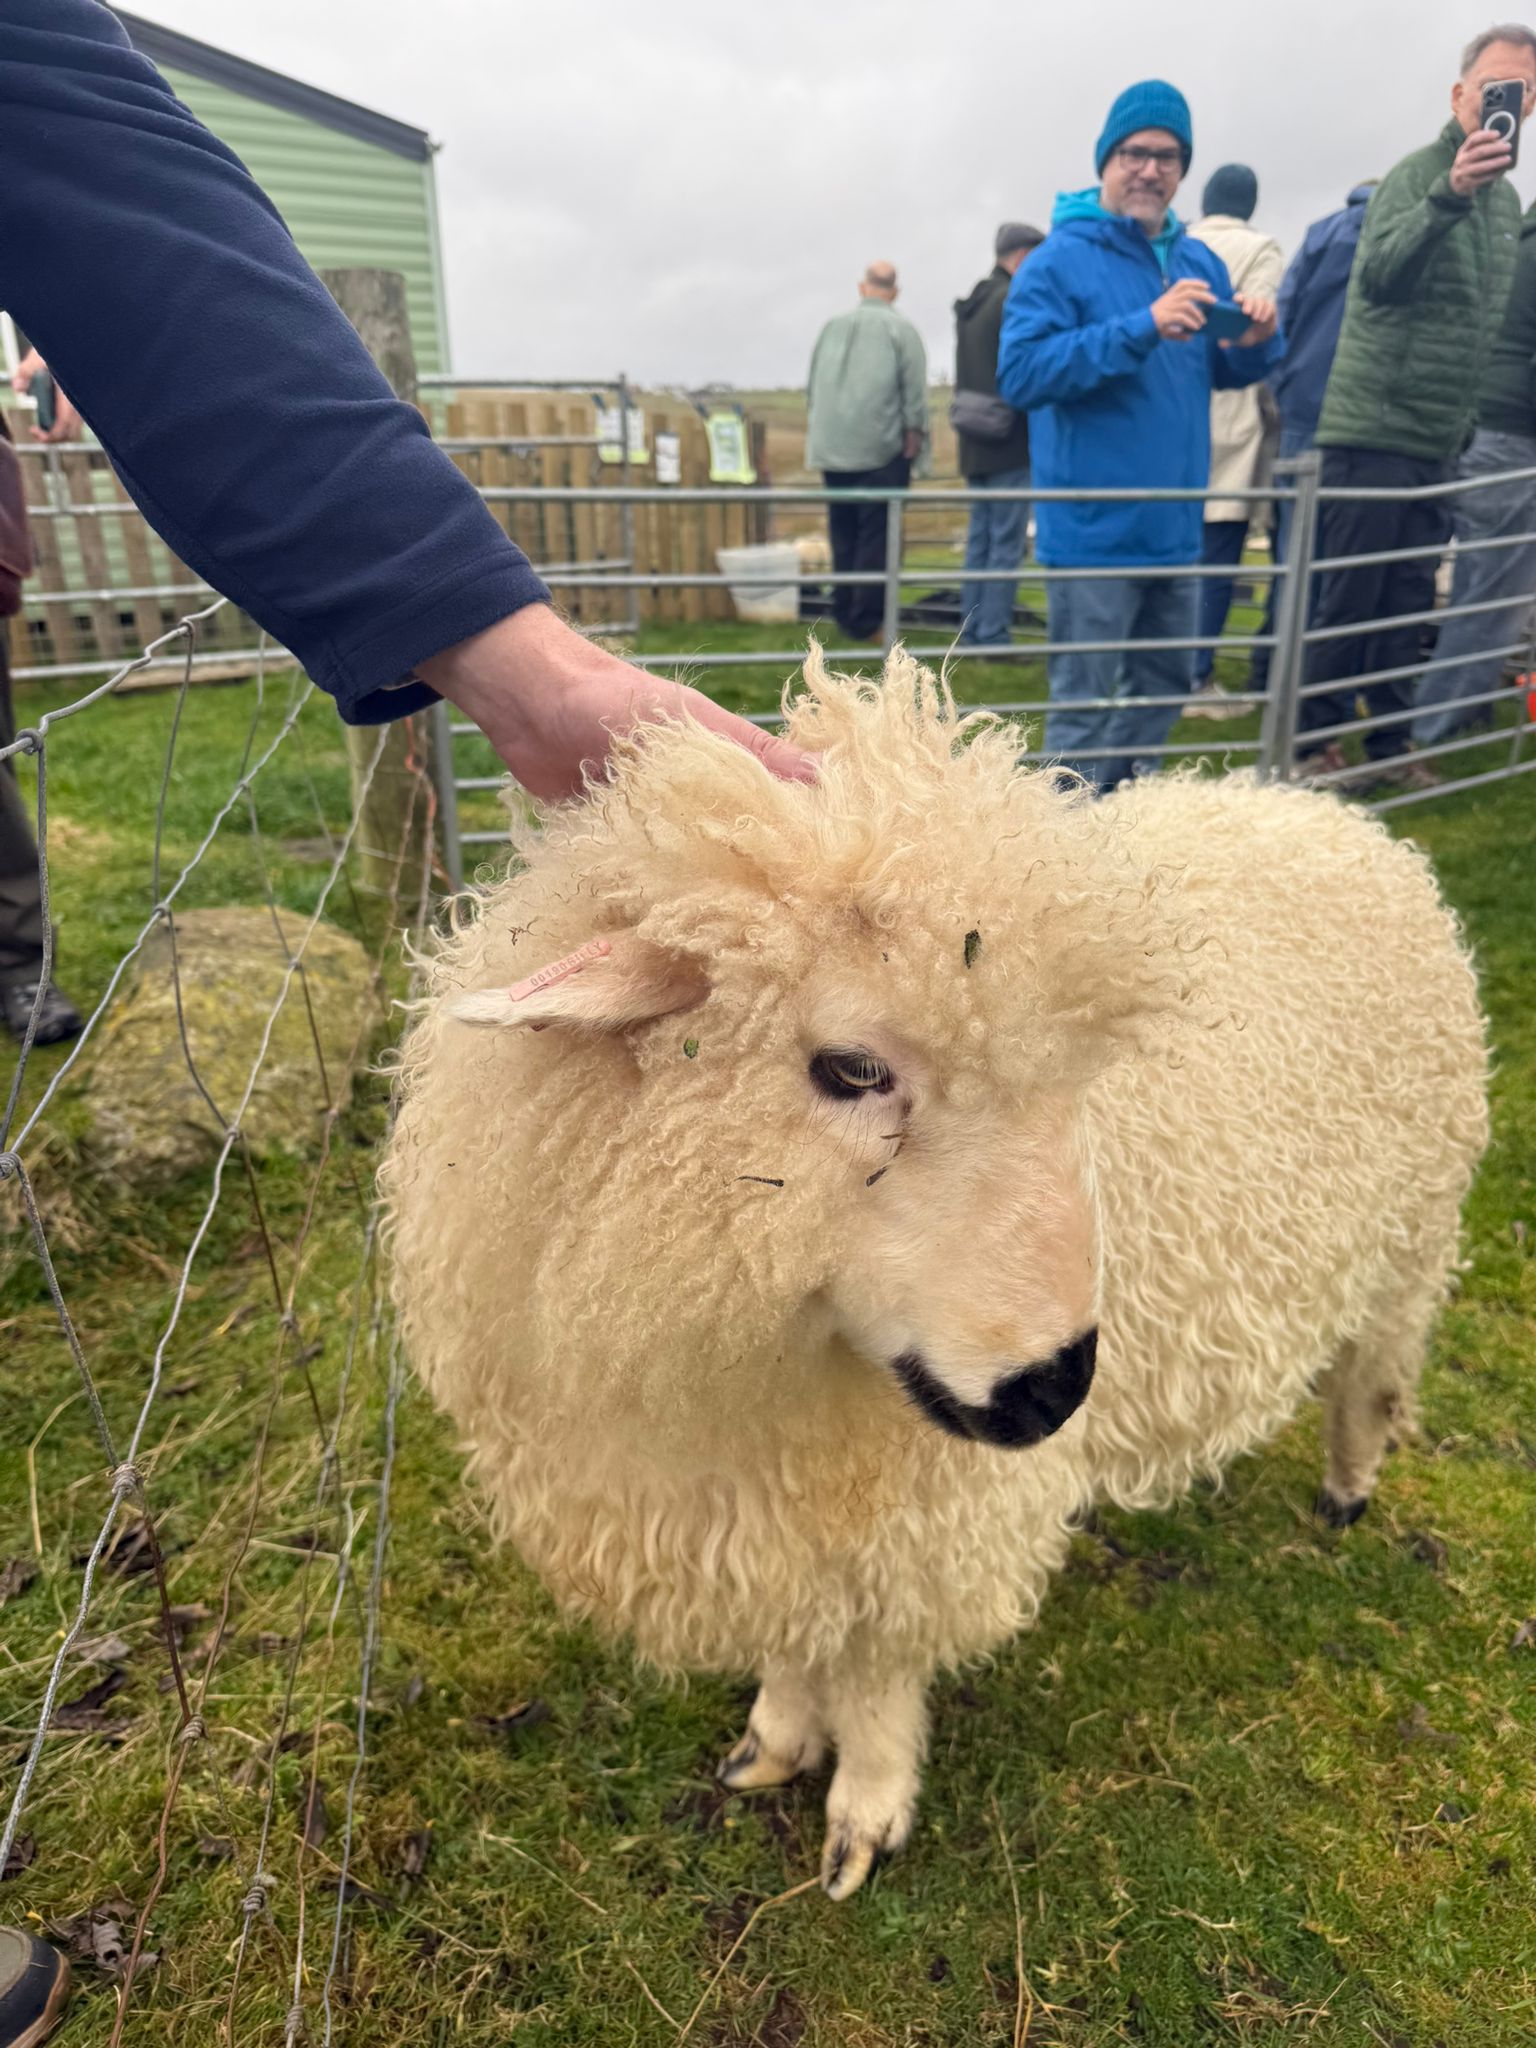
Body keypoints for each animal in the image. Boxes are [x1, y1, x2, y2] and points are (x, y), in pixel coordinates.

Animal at [380, 648, 1488, 1901]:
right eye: (852, 1068)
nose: (1056, 1385)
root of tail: (1319, 810)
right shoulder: (768, 1503)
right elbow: (799, 1637)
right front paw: (774, 1737)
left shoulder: (923, 1508)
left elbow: (876, 1666)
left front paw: (864, 1805)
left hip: (1414, 1229)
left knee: (1374, 1374)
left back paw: (1349, 1487)